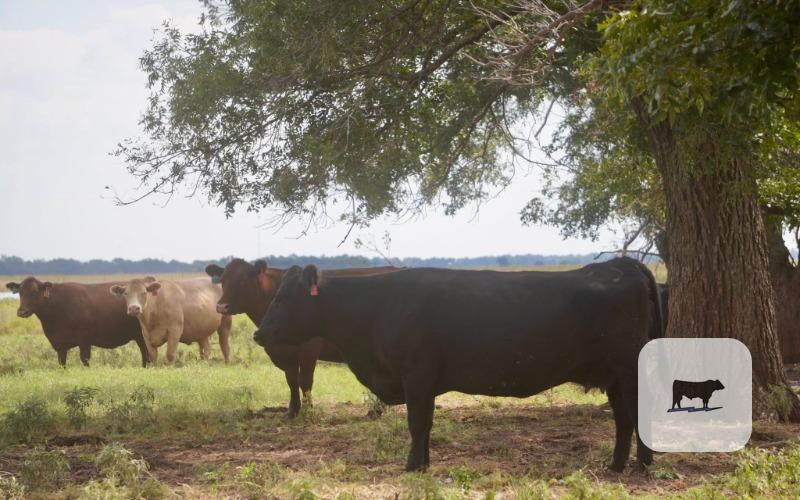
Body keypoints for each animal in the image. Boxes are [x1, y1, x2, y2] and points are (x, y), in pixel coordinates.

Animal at [5, 277, 148, 367]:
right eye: (20, 292)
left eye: (35, 291)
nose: (22, 311)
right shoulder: (60, 344)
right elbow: (62, 363)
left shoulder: (84, 338)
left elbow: (85, 359)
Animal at [205, 259, 397, 417]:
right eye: (223, 281)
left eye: (243, 281)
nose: (221, 306)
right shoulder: (283, 352)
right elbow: (291, 381)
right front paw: (293, 410)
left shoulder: (309, 347)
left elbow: (305, 380)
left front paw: (308, 409)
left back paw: (377, 410)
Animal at [255, 257, 663, 472]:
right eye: (276, 295)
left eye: (286, 297)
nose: (259, 334)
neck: (376, 308)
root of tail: (617, 264)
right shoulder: (425, 381)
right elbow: (426, 425)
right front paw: (423, 464)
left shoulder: (416, 375)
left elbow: (417, 423)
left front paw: (411, 466)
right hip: (613, 375)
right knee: (623, 419)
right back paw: (615, 465)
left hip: (628, 369)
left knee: (637, 415)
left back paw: (642, 466)